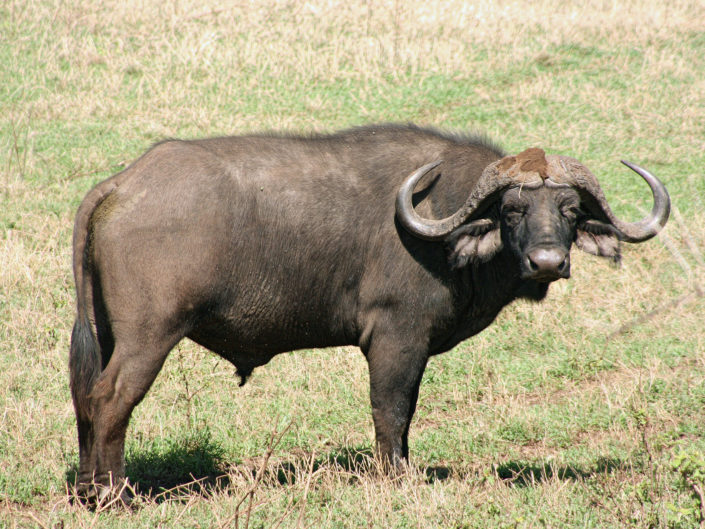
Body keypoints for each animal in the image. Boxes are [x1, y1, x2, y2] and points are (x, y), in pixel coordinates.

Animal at [69, 124, 669, 502]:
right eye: (513, 209)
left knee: (83, 397)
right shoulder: (396, 337)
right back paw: (116, 495)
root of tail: (123, 183)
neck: (443, 229)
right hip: (149, 336)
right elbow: (392, 409)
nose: (547, 261)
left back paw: (86, 489)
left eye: (568, 210)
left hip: (103, 332)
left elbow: (407, 413)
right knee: (111, 400)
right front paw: (395, 477)